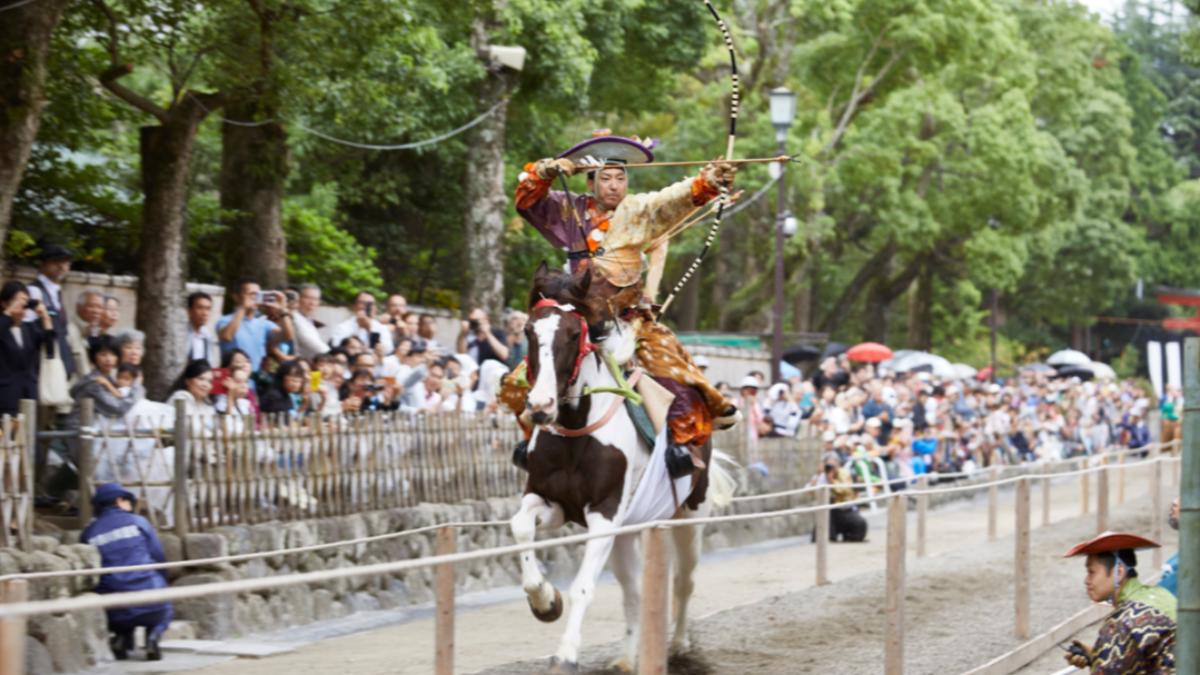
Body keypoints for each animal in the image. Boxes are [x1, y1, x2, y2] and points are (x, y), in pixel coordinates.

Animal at [511, 265, 734, 667]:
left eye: (574, 333)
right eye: (528, 331)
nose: (540, 406)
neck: (575, 430)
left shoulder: (605, 511)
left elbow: (583, 586)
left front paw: (566, 655)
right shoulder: (551, 501)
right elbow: (520, 526)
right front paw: (545, 601)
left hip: (689, 515)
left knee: (684, 580)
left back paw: (679, 645)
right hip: (629, 528)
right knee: (634, 590)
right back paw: (628, 659)